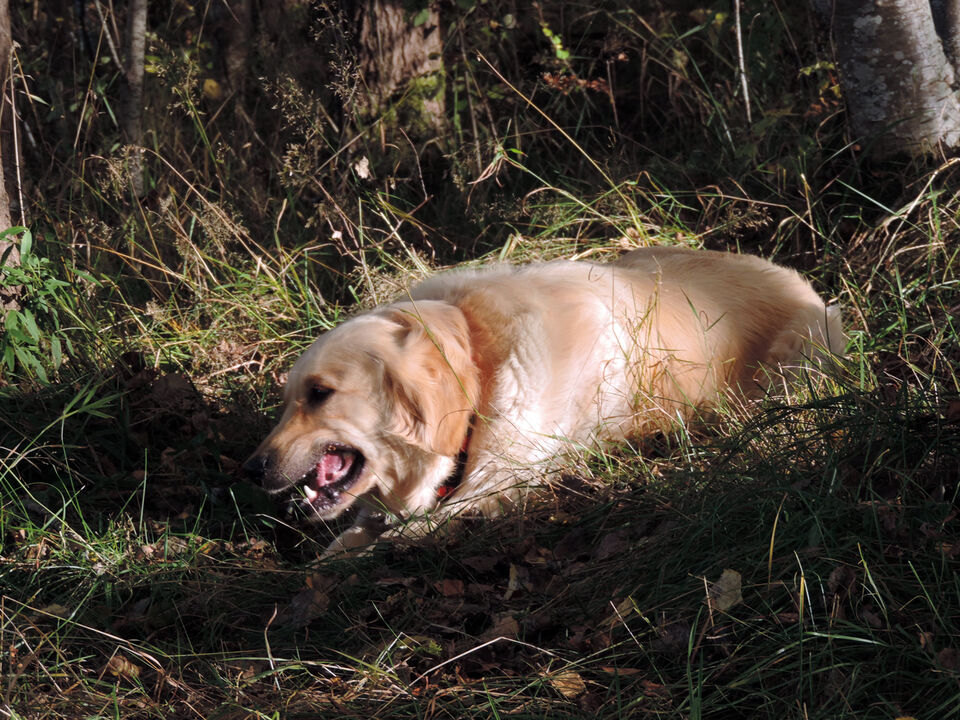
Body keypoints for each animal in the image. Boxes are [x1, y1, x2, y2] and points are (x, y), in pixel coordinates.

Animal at [243, 247, 844, 555]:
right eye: (285, 401)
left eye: (320, 394)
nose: (251, 469)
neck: (481, 368)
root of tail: (809, 288)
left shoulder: (510, 477)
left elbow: (412, 530)